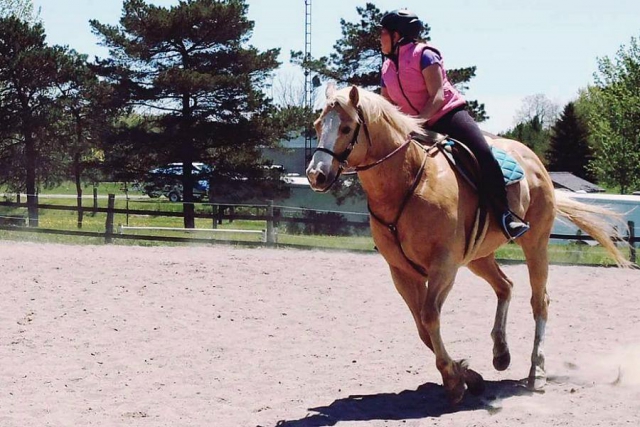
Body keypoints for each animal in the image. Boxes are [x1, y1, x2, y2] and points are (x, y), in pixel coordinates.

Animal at [306, 84, 636, 404]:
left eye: (347, 127)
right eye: (318, 125)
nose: (315, 175)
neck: (411, 181)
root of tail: (533, 160)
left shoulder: (444, 266)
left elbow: (429, 317)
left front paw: (454, 381)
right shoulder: (401, 272)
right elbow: (423, 327)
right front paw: (468, 376)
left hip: (536, 244)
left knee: (539, 301)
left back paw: (537, 372)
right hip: (479, 257)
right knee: (505, 287)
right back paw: (501, 354)